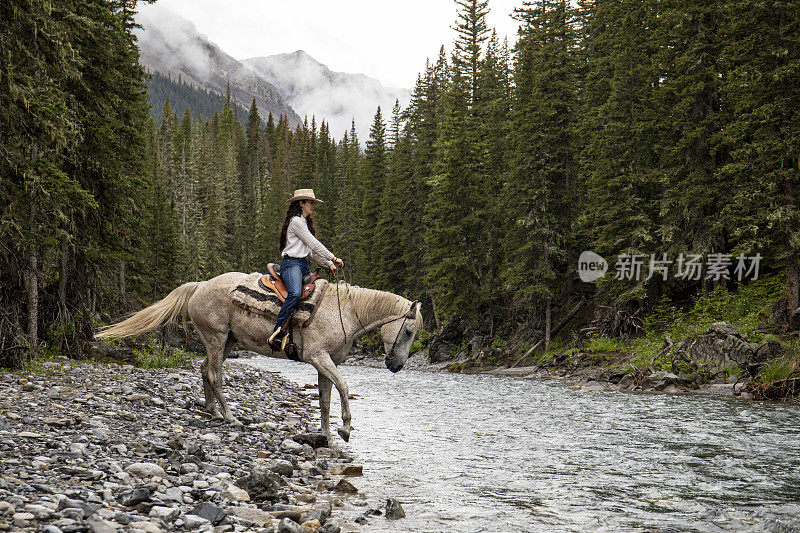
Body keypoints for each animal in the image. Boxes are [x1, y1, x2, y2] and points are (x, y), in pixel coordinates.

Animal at [94, 270, 424, 440]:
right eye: (409, 331)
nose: (397, 365)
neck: (345, 311)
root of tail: (199, 285)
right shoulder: (319, 357)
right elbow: (343, 386)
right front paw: (344, 428)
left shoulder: (325, 363)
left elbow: (325, 398)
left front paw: (327, 435)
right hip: (216, 338)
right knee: (214, 374)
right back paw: (230, 417)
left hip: (226, 342)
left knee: (204, 370)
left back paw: (213, 411)